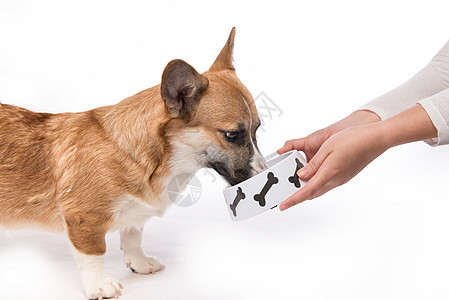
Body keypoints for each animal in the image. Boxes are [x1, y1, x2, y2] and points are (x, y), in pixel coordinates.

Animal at [0, 27, 266, 298]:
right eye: (231, 135)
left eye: (257, 129)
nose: (263, 173)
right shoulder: (83, 219)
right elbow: (94, 254)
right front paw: (98, 285)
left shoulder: (135, 215)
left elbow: (132, 237)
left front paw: (139, 263)